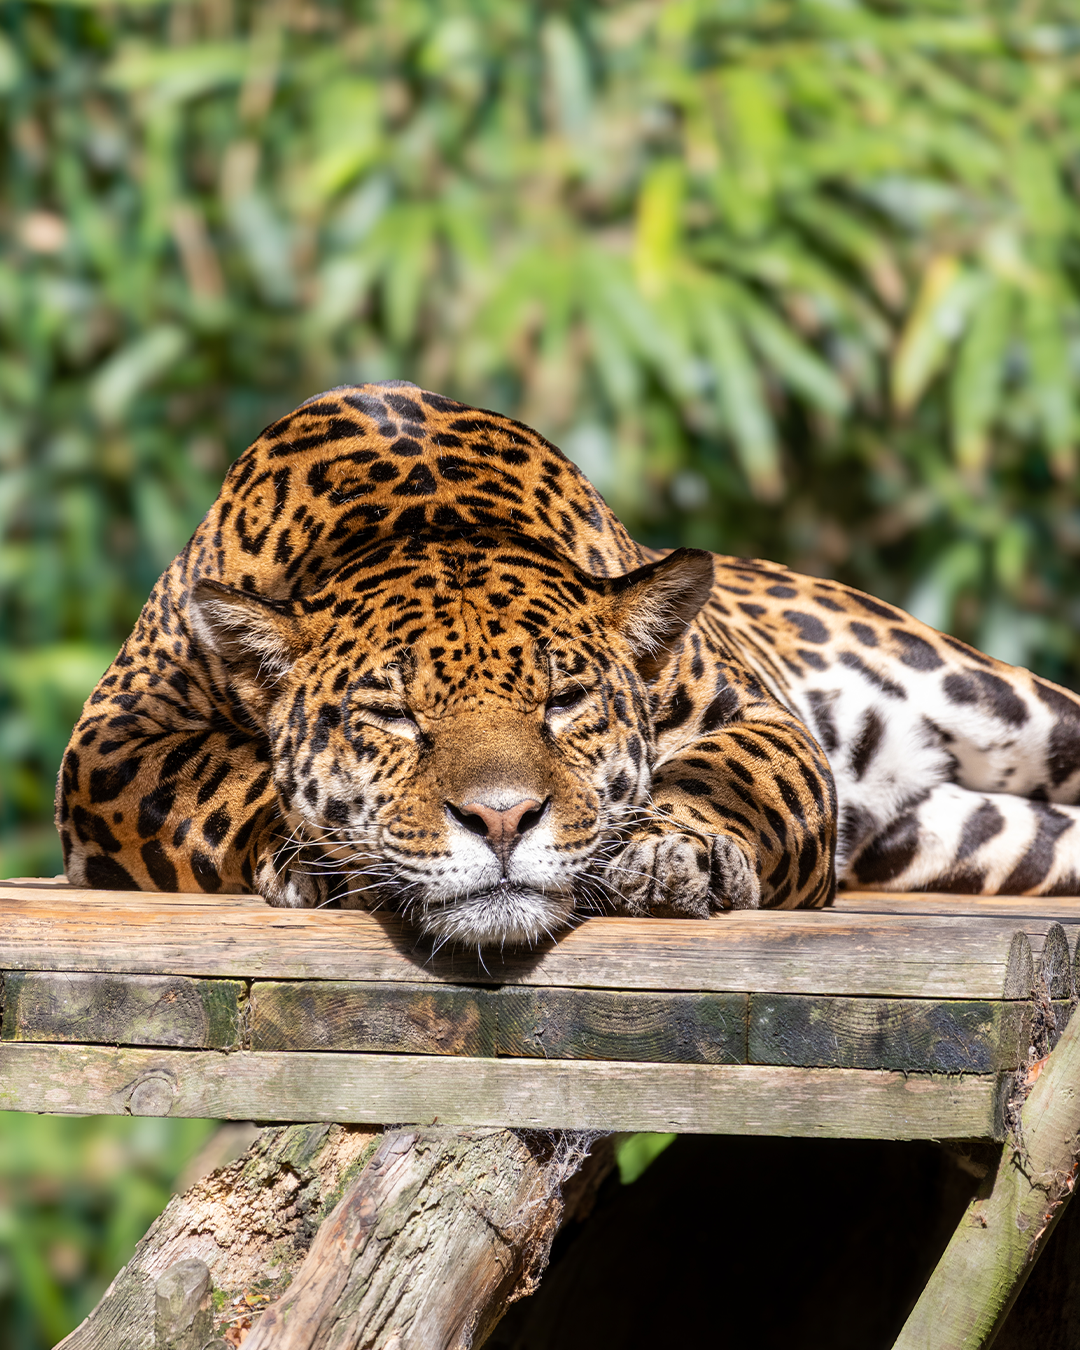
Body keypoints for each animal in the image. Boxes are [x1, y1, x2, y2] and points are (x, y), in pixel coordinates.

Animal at [56, 381, 1080, 948]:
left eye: (566, 701)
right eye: (392, 717)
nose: (503, 822)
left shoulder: (755, 713)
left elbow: (740, 770)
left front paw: (671, 850)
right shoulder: (112, 740)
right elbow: (222, 780)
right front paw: (324, 857)